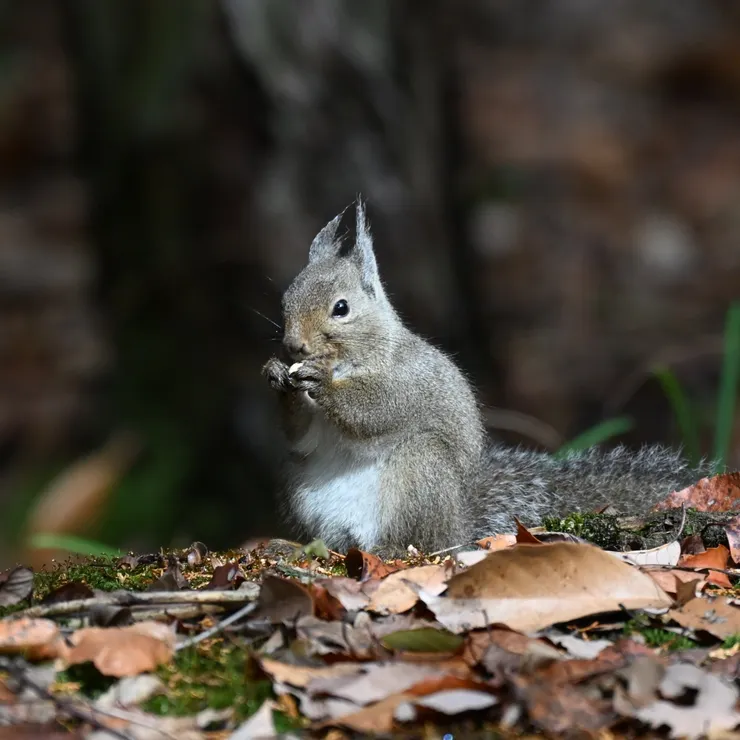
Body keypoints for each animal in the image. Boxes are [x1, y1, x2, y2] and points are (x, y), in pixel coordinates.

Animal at [264, 199, 712, 552]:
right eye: (286, 299)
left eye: (341, 308)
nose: (295, 347)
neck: (352, 359)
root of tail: (457, 528)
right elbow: (301, 437)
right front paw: (277, 377)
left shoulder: (407, 382)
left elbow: (376, 411)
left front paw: (323, 383)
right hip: (303, 487)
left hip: (421, 470)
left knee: (414, 542)